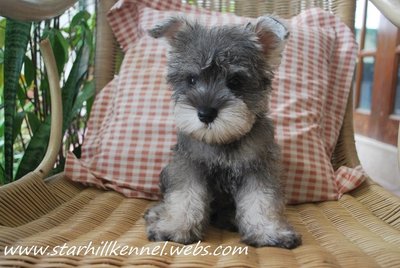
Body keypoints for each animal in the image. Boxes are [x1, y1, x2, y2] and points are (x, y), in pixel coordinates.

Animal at [144, 15, 300, 249]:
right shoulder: (188, 165)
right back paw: (157, 212)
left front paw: (268, 231)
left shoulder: (259, 168)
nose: (206, 113)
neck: (222, 141)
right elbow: (184, 197)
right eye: (191, 79)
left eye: (235, 81)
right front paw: (176, 227)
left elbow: (261, 200)